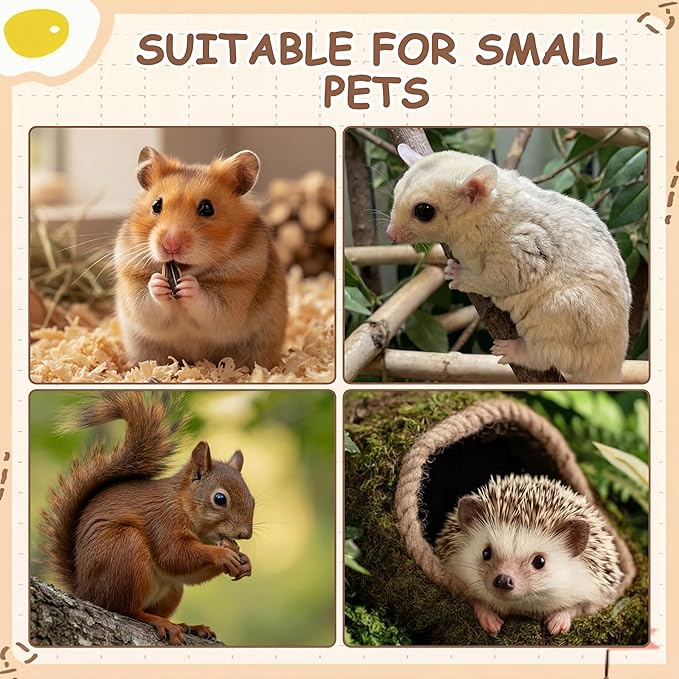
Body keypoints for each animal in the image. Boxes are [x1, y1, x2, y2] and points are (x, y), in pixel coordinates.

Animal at [40, 392, 255, 645]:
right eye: (220, 499)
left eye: (252, 499)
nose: (245, 534)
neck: (183, 505)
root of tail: (84, 590)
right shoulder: (163, 520)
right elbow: (174, 554)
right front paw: (222, 554)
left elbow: (187, 572)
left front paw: (245, 561)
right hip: (124, 550)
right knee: (126, 609)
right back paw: (160, 622)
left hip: (172, 589)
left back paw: (188, 626)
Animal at [114, 146, 288, 370]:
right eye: (156, 205)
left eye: (207, 208)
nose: (170, 244)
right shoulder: (133, 285)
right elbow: (147, 303)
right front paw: (158, 282)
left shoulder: (236, 292)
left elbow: (211, 305)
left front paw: (188, 286)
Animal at [386, 144, 632, 383]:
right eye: (396, 194)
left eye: (424, 211)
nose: (390, 235)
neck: (488, 208)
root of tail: (611, 368)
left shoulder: (517, 249)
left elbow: (498, 281)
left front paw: (457, 274)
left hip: (557, 316)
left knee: (542, 356)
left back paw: (513, 350)